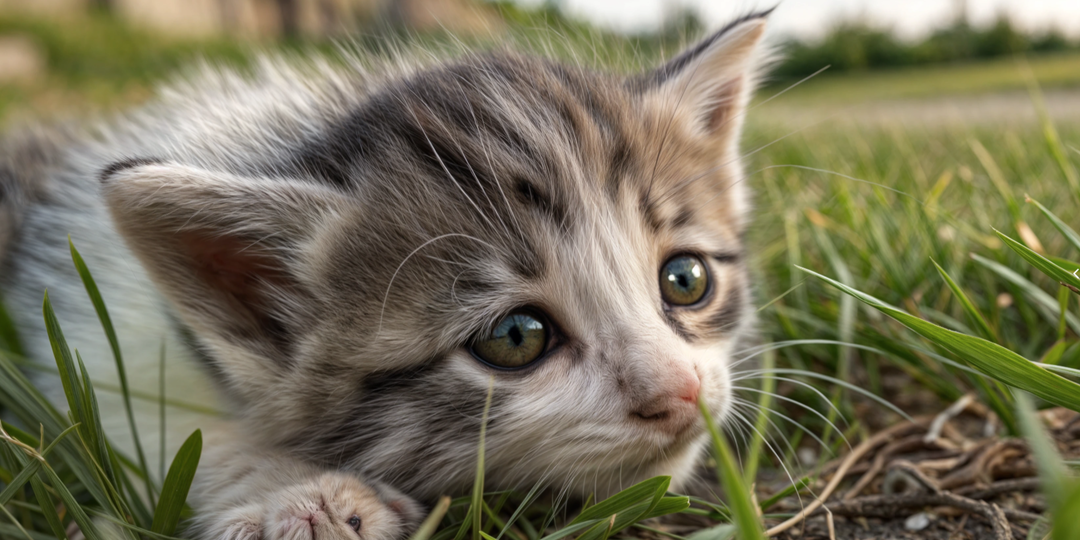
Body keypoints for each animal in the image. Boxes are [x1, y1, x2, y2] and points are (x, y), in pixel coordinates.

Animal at [4, 9, 773, 540]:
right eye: (516, 337)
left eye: (686, 280)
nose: (681, 393)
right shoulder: (92, 318)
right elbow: (127, 419)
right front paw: (293, 493)